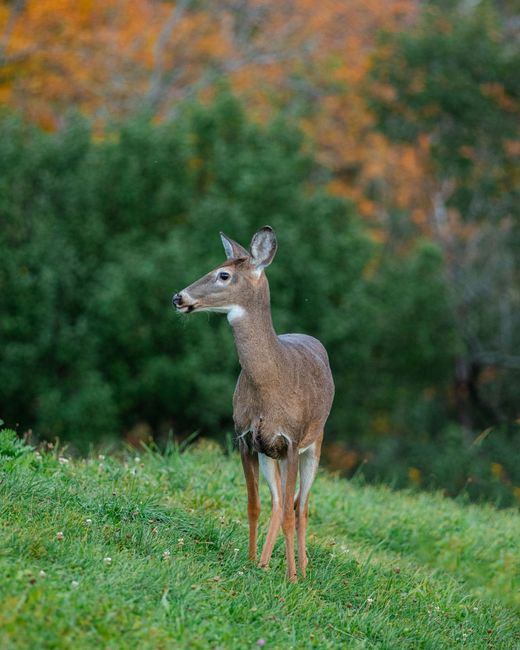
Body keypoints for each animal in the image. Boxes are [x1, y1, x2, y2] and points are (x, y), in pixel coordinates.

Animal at [172, 226, 334, 581]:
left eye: (223, 274)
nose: (178, 297)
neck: (270, 385)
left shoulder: (291, 439)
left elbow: (290, 511)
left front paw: (291, 578)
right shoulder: (246, 438)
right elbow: (253, 505)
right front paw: (248, 562)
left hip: (315, 442)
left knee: (300, 505)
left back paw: (302, 569)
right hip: (269, 454)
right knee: (279, 501)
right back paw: (263, 562)